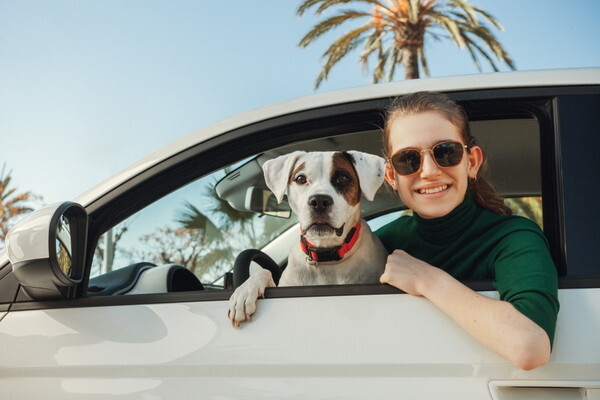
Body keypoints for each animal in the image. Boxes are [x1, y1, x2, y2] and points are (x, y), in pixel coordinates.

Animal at [227, 149, 386, 324]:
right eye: (300, 179)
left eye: (343, 178)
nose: (319, 201)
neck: (325, 256)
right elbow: (264, 272)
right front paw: (243, 293)